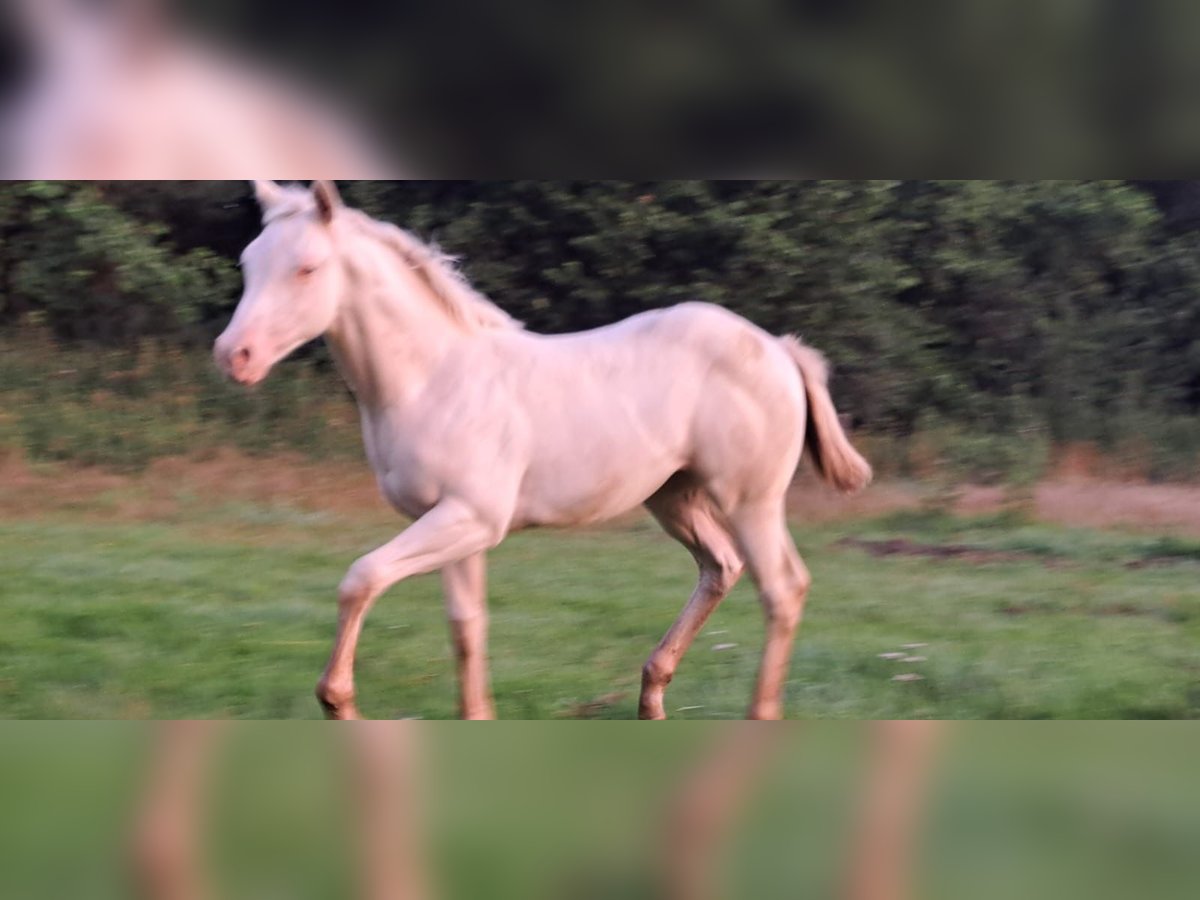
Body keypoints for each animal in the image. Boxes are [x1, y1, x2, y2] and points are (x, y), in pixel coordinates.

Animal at [214, 180, 872, 720]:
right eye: (249, 262)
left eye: (307, 268)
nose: (234, 356)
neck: (432, 379)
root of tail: (780, 347)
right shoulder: (455, 526)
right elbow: (466, 629)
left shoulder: (471, 517)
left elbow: (361, 578)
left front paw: (337, 700)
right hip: (673, 498)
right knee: (721, 567)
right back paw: (651, 697)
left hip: (750, 499)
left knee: (781, 589)